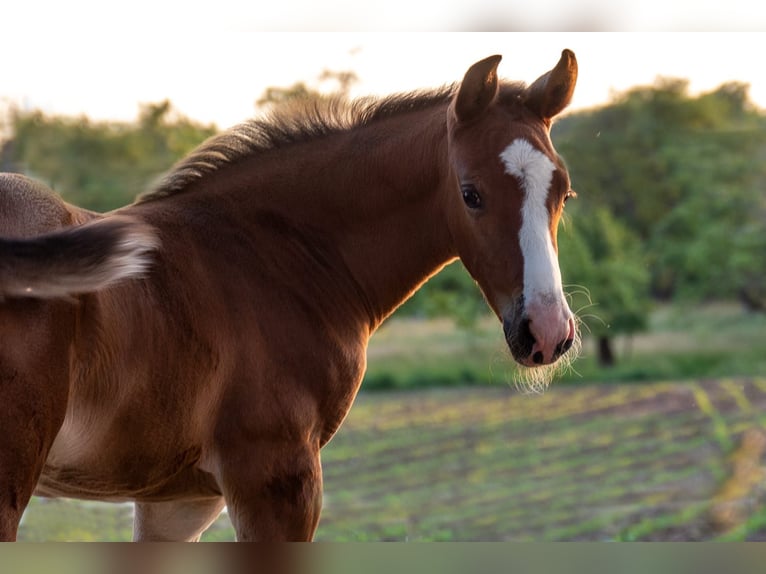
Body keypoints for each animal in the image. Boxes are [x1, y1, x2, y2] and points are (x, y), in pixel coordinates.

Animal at [0, 49, 578, 541]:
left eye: (563, 192)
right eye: (470, 194)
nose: (547, 332)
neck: (276, 255)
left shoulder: (177, 501)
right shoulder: (277, 478)